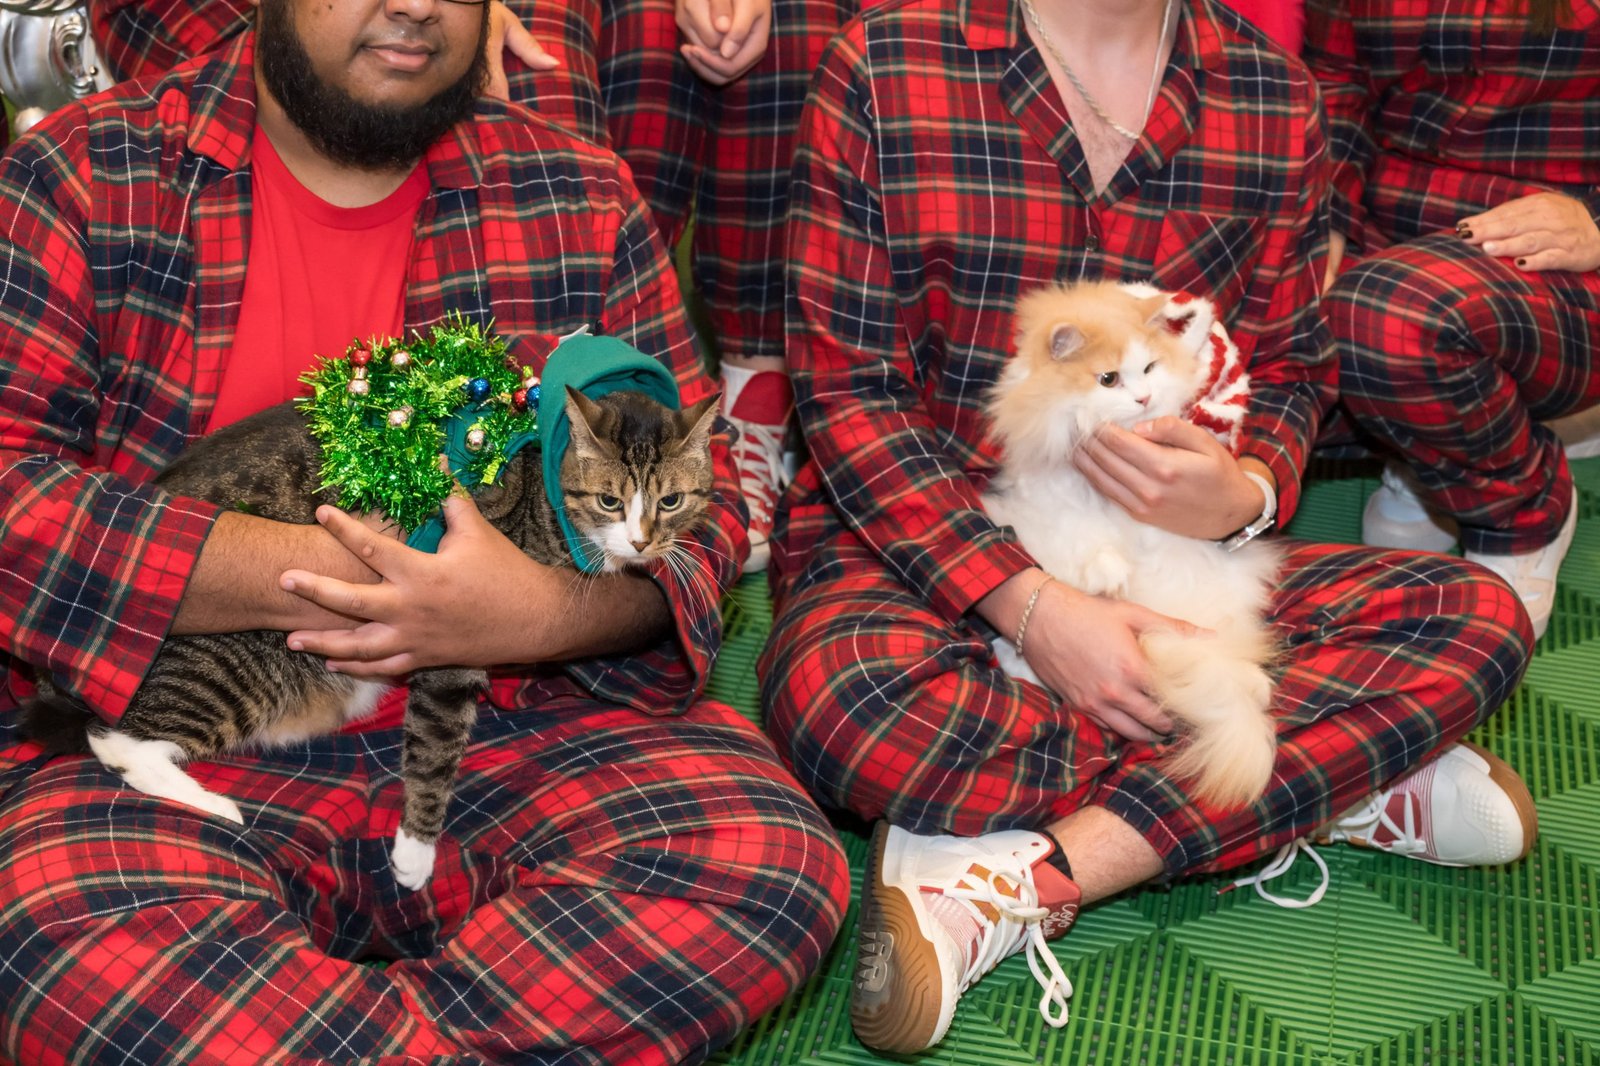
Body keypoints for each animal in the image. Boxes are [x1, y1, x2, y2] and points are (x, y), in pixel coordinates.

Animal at [21, 386, 719, 889]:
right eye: (609, 501)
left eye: (674, 501)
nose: (642, 543)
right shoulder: (460, 628)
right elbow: (437, 748)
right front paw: (416, 851)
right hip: (231, 666)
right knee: (116, 740)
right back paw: (216, 806)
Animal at [980, 279, 1279, 808]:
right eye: (1107, 379)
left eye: (1149, 369)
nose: (1142, 399)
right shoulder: (1054, 506)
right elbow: (1092, 542)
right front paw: (1110, 580)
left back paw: (1256, 686)